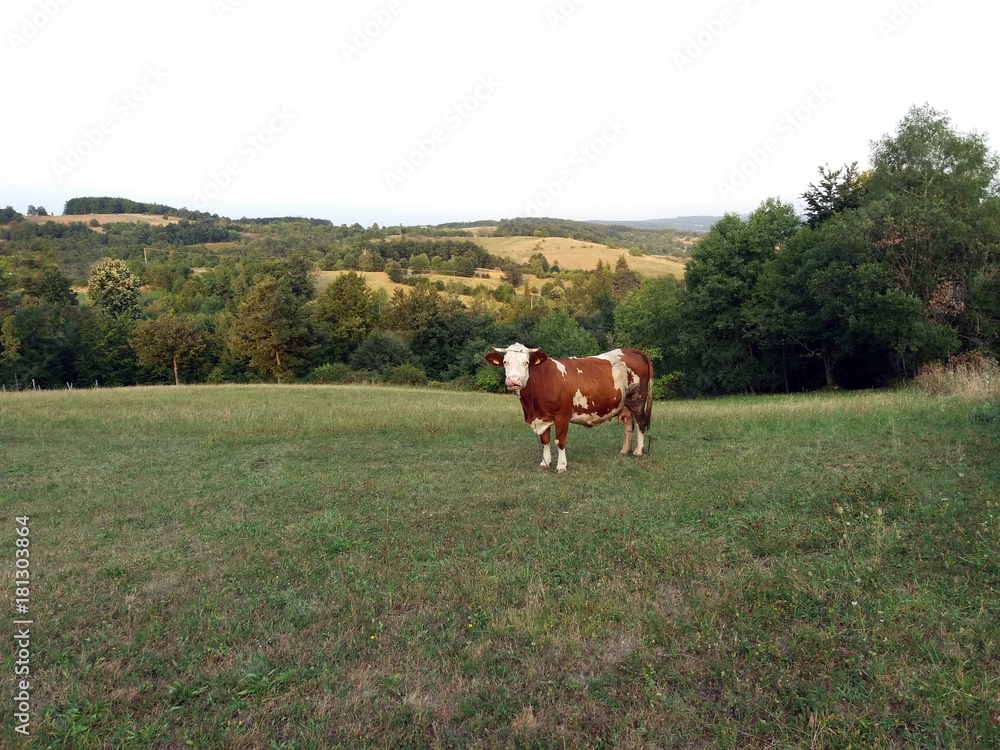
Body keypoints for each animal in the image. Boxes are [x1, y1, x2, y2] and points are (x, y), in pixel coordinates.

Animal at [486, 344, 656, 472]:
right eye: (505, 362)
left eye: (526, 362)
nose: (513, 380)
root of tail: (632, 350)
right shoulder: (542, 416)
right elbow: (545, 440)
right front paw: (545, 463)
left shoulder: (562, 416)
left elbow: (560, 441)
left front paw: (561, 466)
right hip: (625, 404)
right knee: (628, 426)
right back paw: (624, 451)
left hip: (637, 400)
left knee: (640, 424)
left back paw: (637, 452)